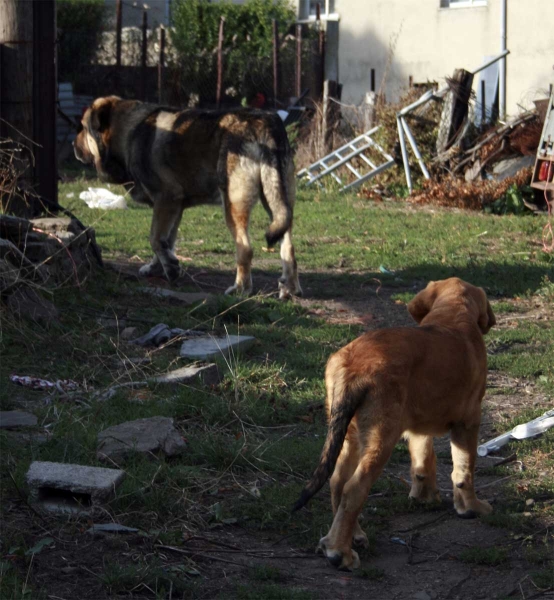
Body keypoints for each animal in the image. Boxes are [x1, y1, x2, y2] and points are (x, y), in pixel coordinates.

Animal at [72, 96, 302, 300]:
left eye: (83, 128)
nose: (73, 146)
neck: (129, 133)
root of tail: (265, 124)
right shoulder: (175, 207)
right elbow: (166, 241)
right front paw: (159, 267)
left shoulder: (166, 200)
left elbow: (155, 238)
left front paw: (171, 268)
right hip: (278, 203)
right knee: (288, 247)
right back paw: (289, 288)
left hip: (233, 206)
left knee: (245, 249)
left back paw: (240, 289)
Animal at [292, 278, 494, 568]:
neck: (453, 314)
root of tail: (353, 365)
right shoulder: (469, 421)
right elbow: (464, 469)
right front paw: (471, 507)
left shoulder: (416, 426)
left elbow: (423, 459)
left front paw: (424, 497)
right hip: (381, 439)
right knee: (354, 488)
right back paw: (339, 552)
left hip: (350, 435)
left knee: (338, 482)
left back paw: (353, 536)